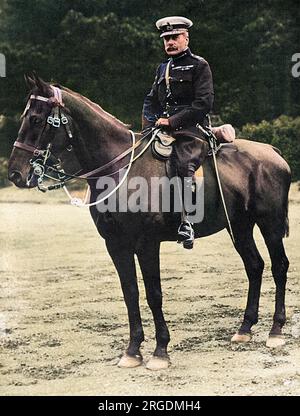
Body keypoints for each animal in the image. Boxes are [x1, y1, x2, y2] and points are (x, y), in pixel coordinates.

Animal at [8, 75, 290, 370]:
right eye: (25, 117)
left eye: (37, 119)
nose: (15, 173)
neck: (120, 169)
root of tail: (271, 151)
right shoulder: (116, 245)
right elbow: (130, 293)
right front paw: (132, 350)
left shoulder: (147, 244)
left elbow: (154, 294)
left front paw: (160, 351)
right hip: (239, 226)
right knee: (254, 267)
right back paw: (244, 329)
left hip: (269, 224)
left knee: (279, 266)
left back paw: (275, 331)